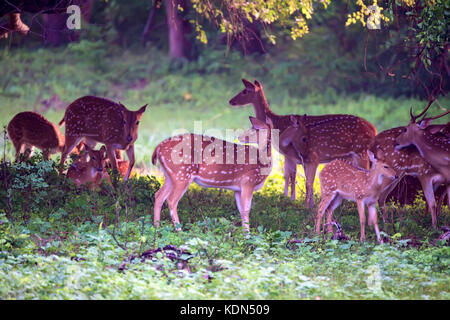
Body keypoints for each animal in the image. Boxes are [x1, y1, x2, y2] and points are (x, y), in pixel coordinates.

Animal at [229, 77, 376, 208]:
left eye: (245, 91)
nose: (231, 101)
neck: (276, 123)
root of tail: (374, 129)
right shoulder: (291, 156)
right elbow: (289, 175)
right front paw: (294, 199)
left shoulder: (291, 153)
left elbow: (292, 176)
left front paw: (292, 199)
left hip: (361, 152)